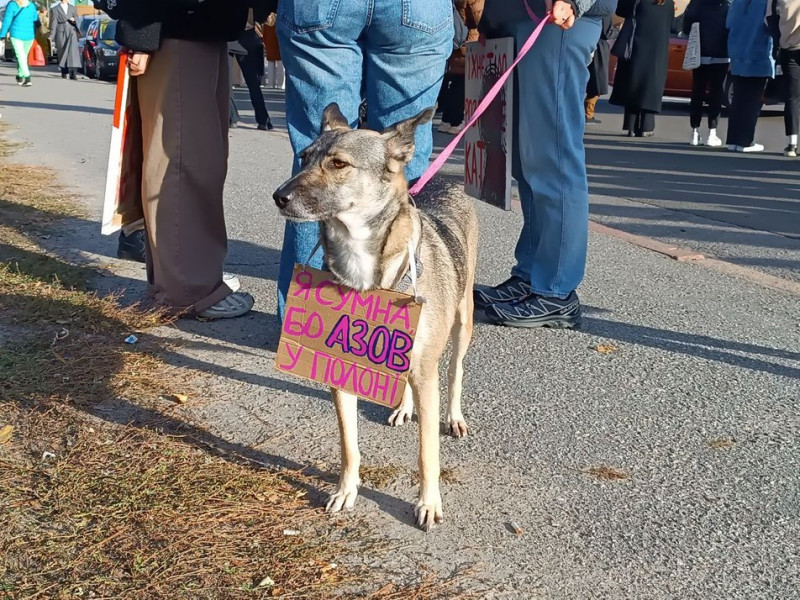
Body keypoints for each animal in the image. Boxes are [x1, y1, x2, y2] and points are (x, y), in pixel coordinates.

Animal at [272, 104, 478, 528]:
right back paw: (402, 406)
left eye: (338, 163)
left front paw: (429, 502)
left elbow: (427, 453)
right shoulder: (341, 367)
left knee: (456, 371)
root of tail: (444, 179)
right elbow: (348, 445)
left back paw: (453, 416)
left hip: (463, 320)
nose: (279, 197)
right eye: (304, 157)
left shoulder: (426, 372)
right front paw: (346, 490)